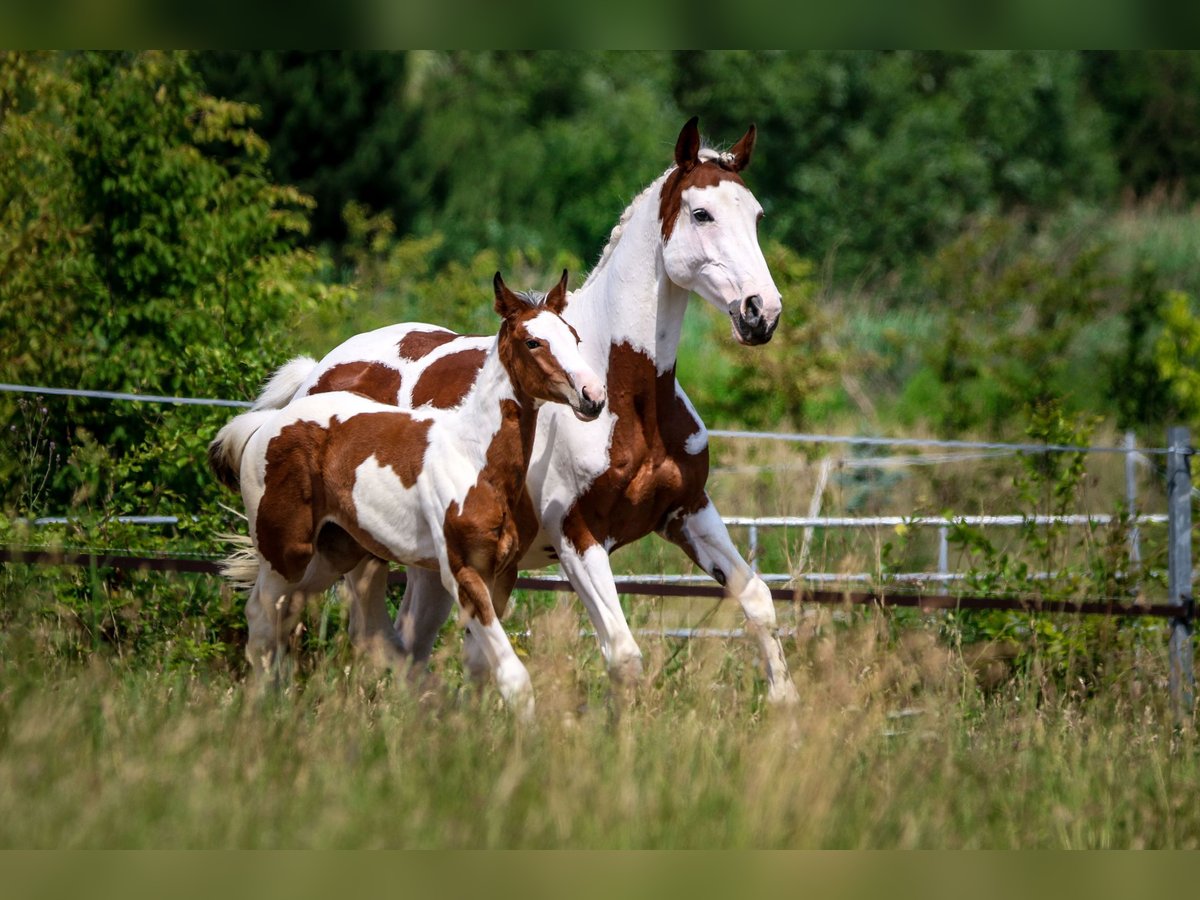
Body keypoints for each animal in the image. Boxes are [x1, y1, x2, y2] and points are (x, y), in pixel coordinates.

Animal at [208, 274, 609, 720]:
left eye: (573, 337)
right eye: (533, 342)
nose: (593, 396)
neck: (474, 458)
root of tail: (266, 425)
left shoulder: (502, 573)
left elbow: (482, 665)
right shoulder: (461, 573)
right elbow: (513, 676)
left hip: (335, 552)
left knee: (289, 613)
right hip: (286, 551)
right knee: (262, 616)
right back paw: (262, 708)